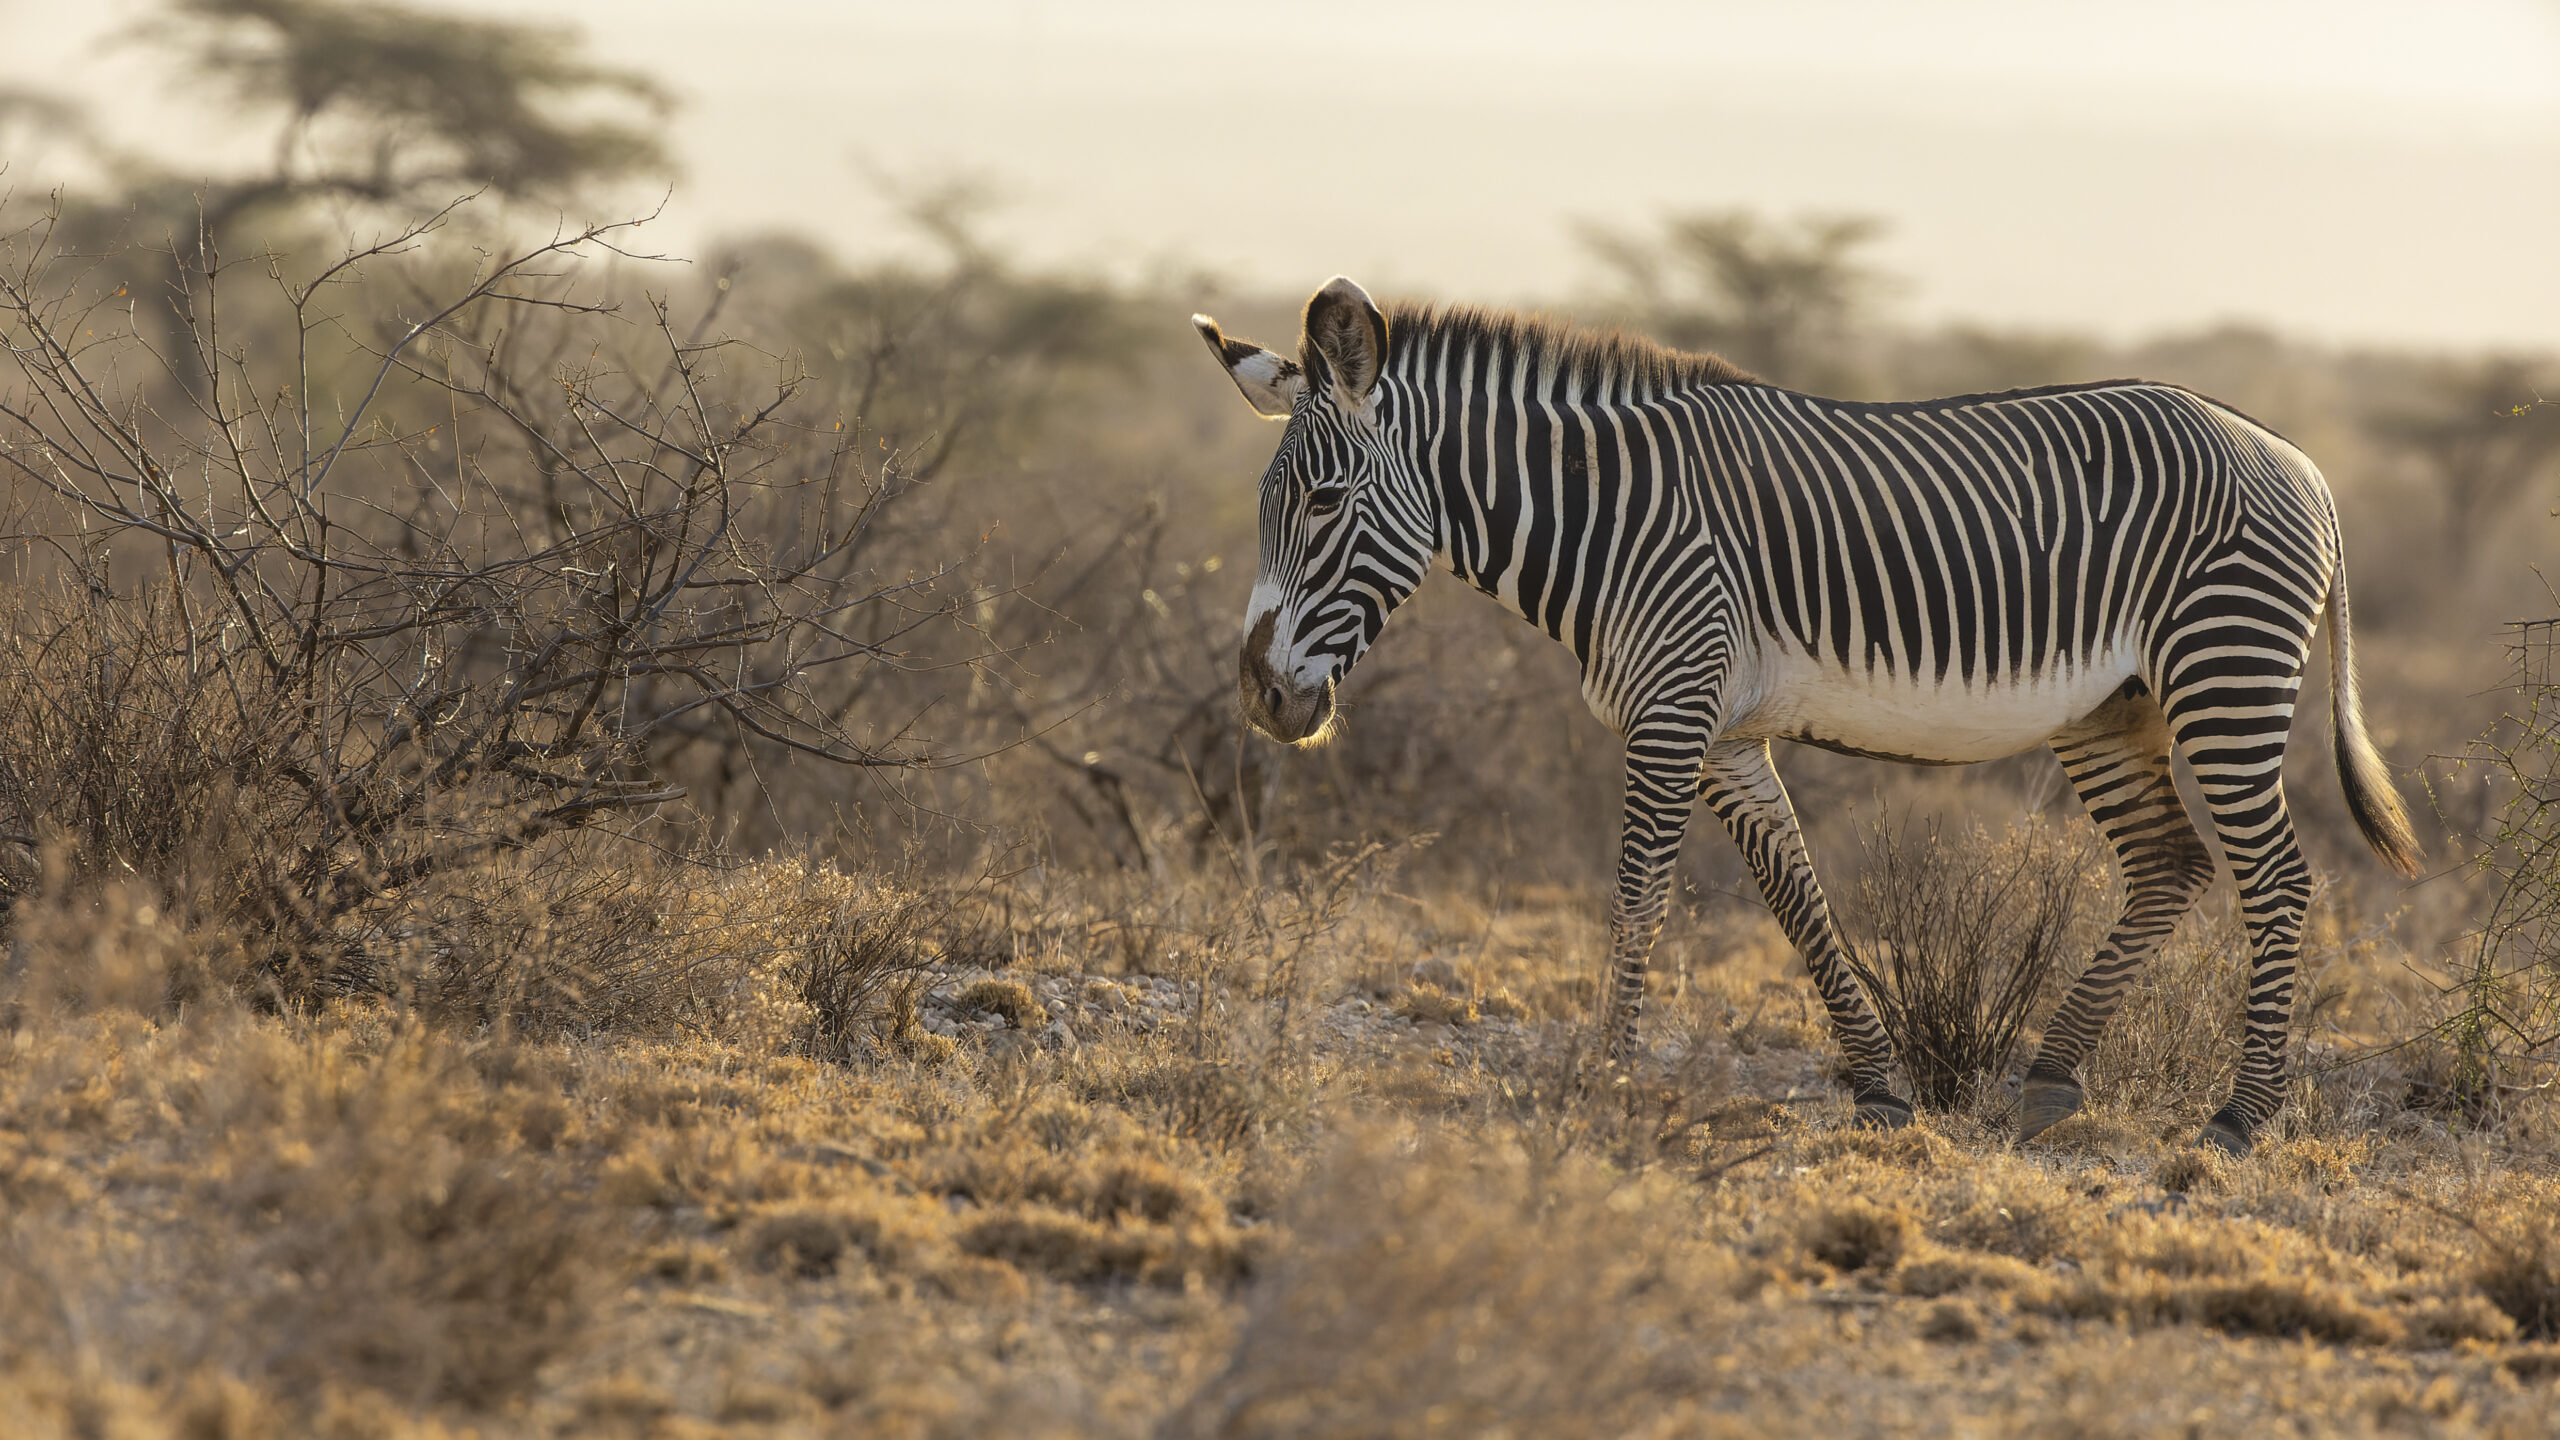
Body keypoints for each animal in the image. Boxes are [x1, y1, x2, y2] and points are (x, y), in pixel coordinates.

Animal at [1198, 274, 2416, 1147]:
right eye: (1262, 504)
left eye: (1324, 501)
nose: (1262, 696)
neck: (1611, 518)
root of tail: (2293, 457)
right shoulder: (1725, 734)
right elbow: (1795, 896)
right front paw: (1878, 1088)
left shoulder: (1672, 711)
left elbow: (1637, 900)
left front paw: (1602, 1081)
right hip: (2114, 713)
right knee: (2171, 864)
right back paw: (2051, 1079)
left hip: (2225, 675)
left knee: (2276, 878)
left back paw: (2240, 1117)